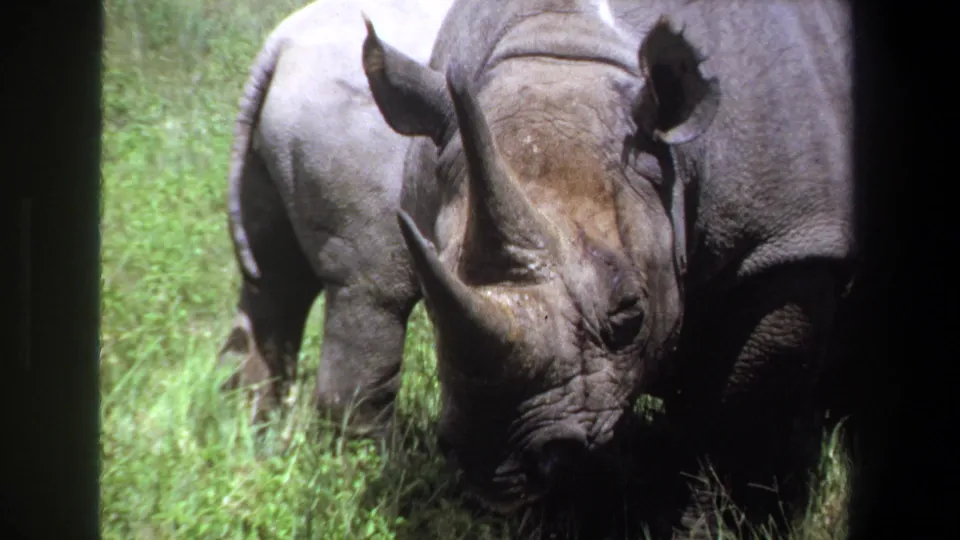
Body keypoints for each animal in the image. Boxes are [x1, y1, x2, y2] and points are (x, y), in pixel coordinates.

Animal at [217, 0, 454, 433]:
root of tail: (281, 44)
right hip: (356, 149)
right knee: (374, 295)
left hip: (268, 155)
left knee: (273, 283)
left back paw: (251, 431)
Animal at [362, 0, 853, 536]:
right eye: (432, 309)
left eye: (629, 313)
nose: (496, 462)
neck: (568, 49)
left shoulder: (781, 244)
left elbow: (728, 420)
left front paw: (706, 526)